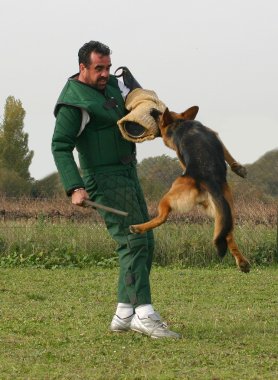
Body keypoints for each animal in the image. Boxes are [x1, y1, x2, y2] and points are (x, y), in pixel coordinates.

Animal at [131, 107, 251, 274]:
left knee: (162, 217)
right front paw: (239, 168)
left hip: (168, 197)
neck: (179, 123)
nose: (152, 109)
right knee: (227, 235)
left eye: (160, 115)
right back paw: (242, 262)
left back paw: (138, 227)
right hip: (226, 213)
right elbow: (228, 155)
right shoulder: (216, 136)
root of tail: (209, 181)